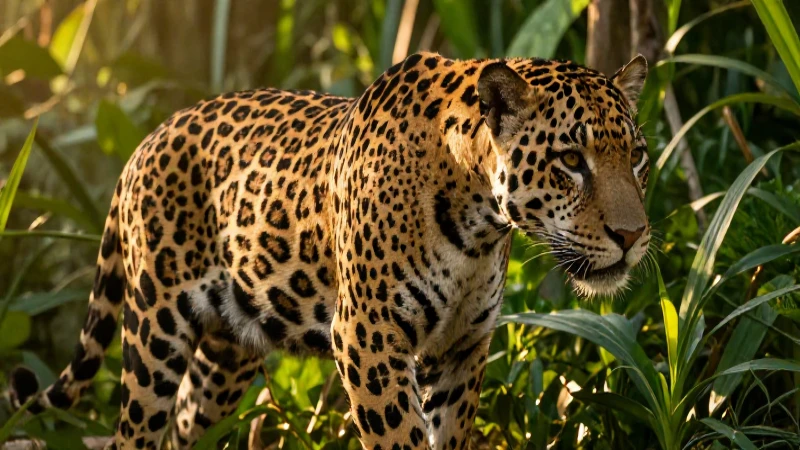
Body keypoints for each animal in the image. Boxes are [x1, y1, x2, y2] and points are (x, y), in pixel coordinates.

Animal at [10, 51, 651, 450]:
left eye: (638, 156)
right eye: (571, 159)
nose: (633, 236)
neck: (479, 226)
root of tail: (144, 142)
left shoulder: (462, 345)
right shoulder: (368, 337)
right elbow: (401, 438)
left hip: (226, 354)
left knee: (188, 422)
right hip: (154, 332)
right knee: (134, 432)